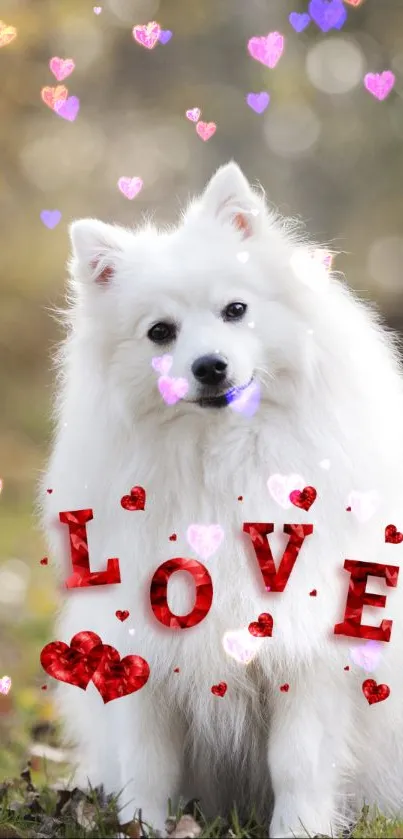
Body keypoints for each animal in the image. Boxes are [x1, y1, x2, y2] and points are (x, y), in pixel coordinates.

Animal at [40, 164, 403, 839]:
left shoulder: (306, 649)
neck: (220, 462)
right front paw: (141, 825)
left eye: (236, 310)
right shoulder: (145, 652)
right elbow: (148, 762)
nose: (209, 366)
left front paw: (299, 830)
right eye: (160, 332)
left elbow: (297, 763)